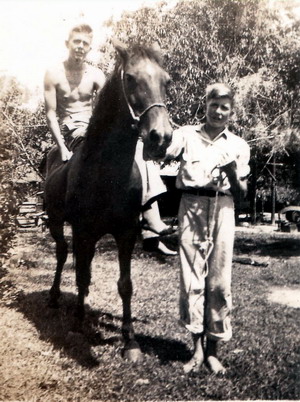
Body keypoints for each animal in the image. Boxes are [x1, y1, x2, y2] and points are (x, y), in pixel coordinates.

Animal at [43, 42, 172, 362]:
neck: (107, 170)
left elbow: (125, 285)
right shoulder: (83, 232)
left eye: (166, 81)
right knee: (62, 255)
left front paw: (130, 341)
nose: (161, 137)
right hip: (55, 223)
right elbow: (81, 276)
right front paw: (78, 325)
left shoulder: (125, 233)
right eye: (131, 79)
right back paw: (54, 297)